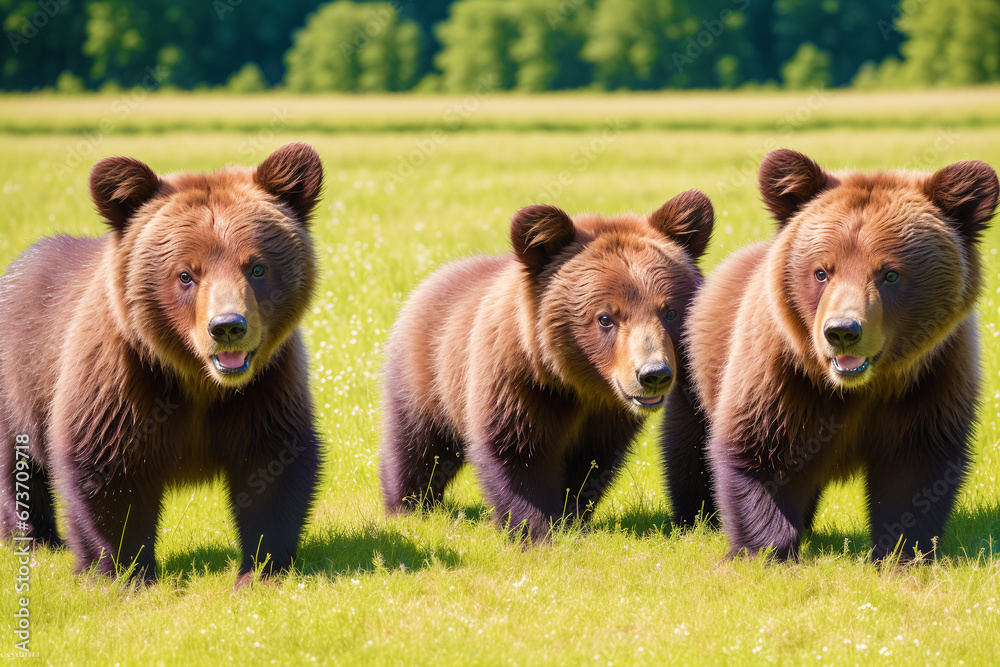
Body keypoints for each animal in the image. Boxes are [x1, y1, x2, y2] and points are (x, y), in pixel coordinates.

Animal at [0, 142, 324, 586]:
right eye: (185, 274)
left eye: (257, 267)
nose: (227, 327)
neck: (197, 380)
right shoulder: (120, 386)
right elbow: (109, 476)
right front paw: (128, 574)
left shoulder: (265, 388)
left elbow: (273, 467)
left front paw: (260, 571)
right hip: (18, 385)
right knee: (16, 466)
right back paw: (37, 540)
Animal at [379, 191, 716, 541]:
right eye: (605, 317)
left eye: (670, 312)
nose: (653, 374)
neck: (579, 384)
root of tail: (439, 274)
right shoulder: (518, 385)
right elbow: (517, 456)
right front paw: (538, 529)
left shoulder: (605, 419)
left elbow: (591, 466)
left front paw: (572, 519)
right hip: (428, 378)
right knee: (418, 444)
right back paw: (408, 506)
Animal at [684, 148, 998, 561]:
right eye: (822, 272)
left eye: (890, 273)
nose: (842, 331)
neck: (859, 387)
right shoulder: (780, 376)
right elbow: (758, 454)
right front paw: (766, 552)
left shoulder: (932, 381)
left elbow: (915, 471)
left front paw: (902, 553)